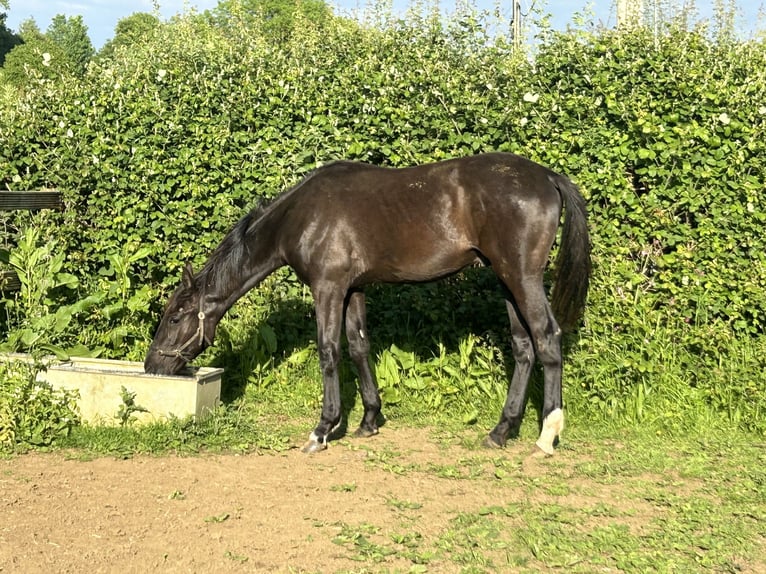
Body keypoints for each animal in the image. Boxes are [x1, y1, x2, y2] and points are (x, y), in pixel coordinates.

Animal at [146, 152, 592, 454]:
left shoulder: (327, 288)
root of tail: (546, 176)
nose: (153, 366)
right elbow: (360, 347)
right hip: (506, 282)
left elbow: (329, 351)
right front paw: (369, 420)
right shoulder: (353, 289)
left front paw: (323, 429)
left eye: (175, 317)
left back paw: (547, 433)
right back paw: (501, 431)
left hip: (521, 278)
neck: (300, 217)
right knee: (523, 347)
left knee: (547, 338)